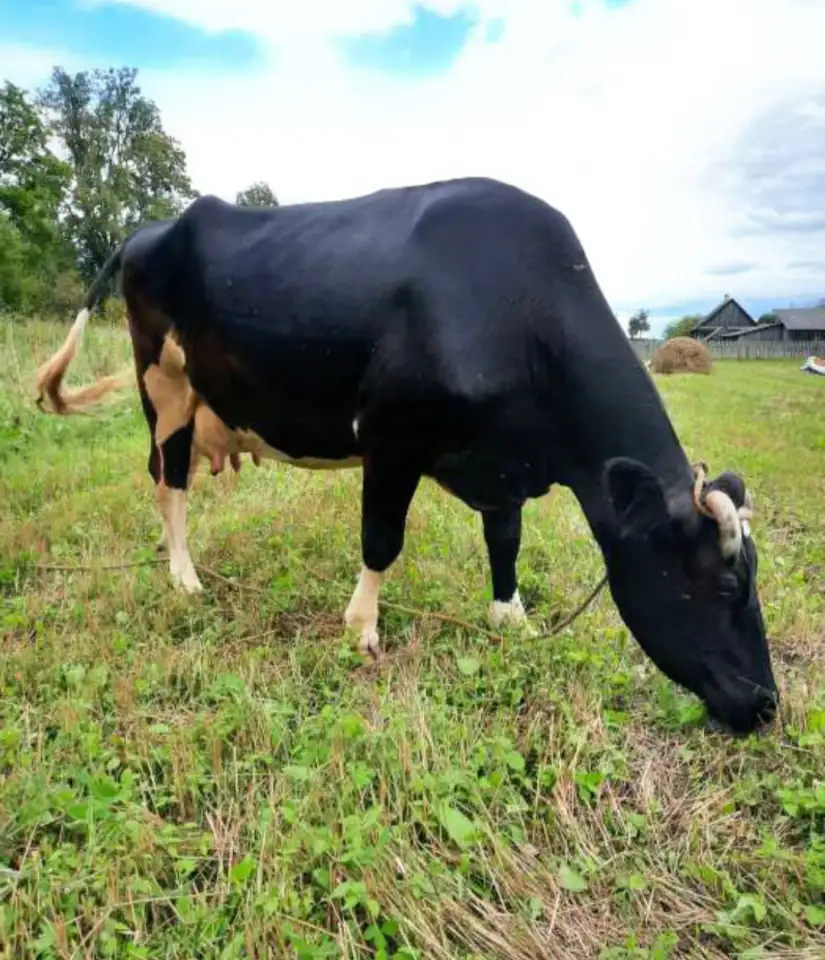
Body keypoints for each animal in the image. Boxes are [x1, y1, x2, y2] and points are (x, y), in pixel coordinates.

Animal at [34, 176, 778, 735]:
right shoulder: (390, 436)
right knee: (170, 482)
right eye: (722, 585)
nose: (767, 704)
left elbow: (505, 539)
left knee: (163, 476)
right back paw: (185, 576)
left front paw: (510, 618)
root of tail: (155, 225)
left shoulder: (504, 466)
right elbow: (381, 539)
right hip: (163, 383)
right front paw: (361, 630)